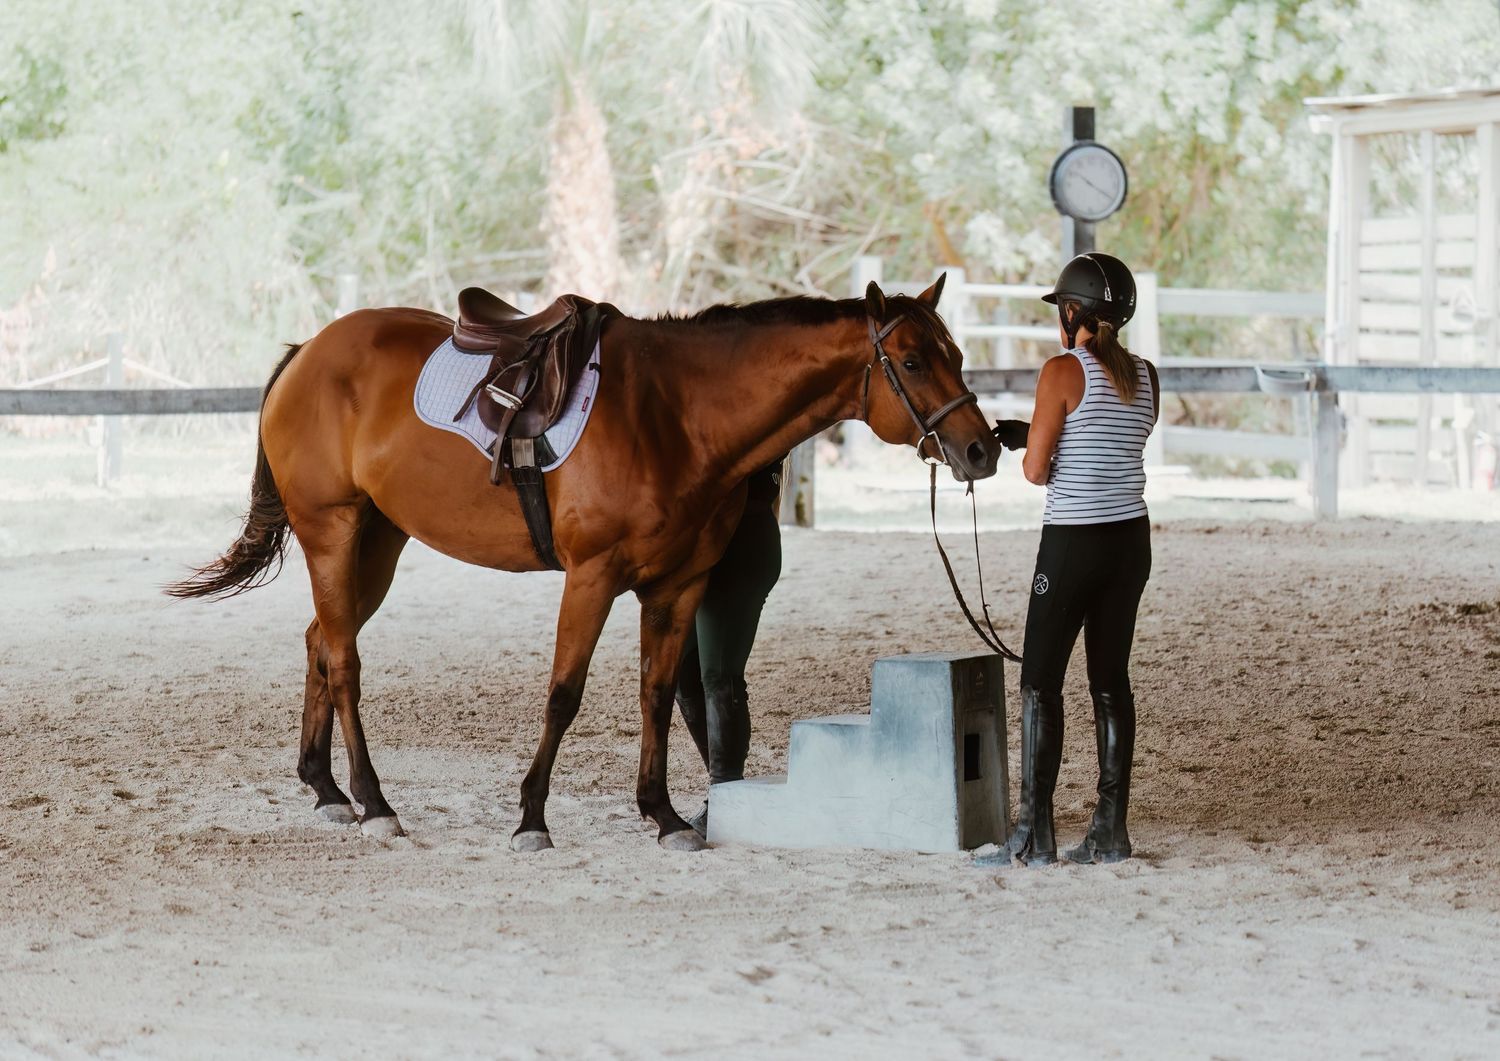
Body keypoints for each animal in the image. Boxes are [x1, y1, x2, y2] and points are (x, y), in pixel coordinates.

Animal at [167, 276, 999, 851]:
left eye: (957, 354)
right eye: (912, 359)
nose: (981, 450)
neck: (677, 413)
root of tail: (305, 353)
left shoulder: (677, 587)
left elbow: (658, 695)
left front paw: (665, 814)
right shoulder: (592, 575)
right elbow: (564, 694)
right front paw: (532, 816)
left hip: (377, 542)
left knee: (320, 640)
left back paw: (327, 789)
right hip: (334, 532)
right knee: (343, 660)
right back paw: (375, 802)